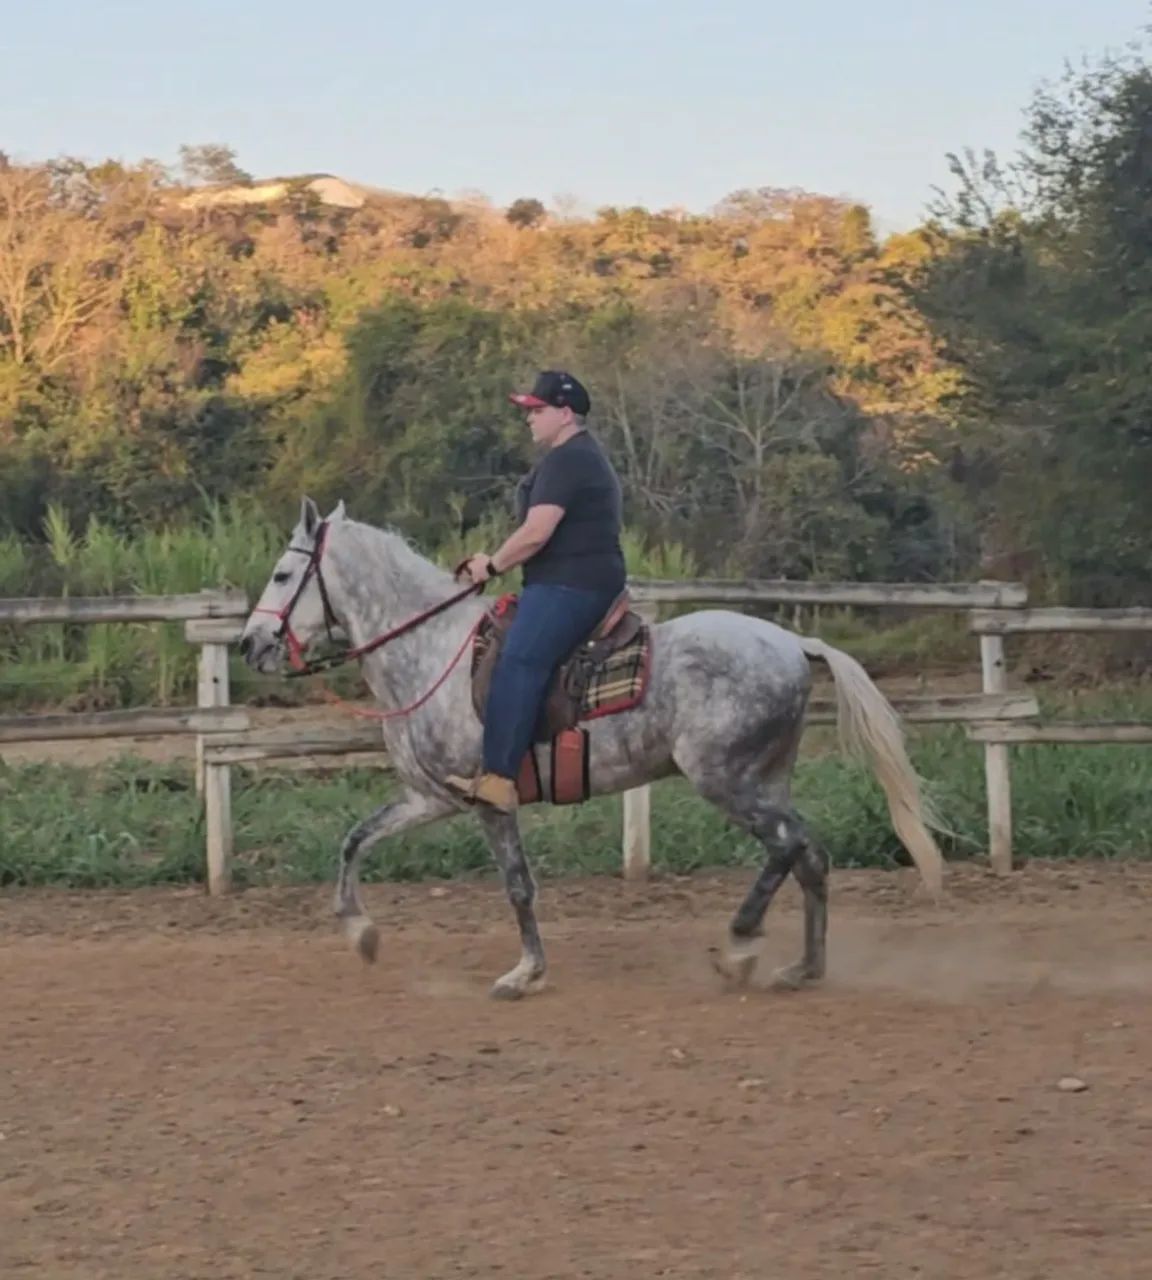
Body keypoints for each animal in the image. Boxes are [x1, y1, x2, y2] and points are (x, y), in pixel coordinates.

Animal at [238, 498, 944, 999]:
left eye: (282, 573)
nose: (250, 644)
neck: (433, 651)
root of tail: (794, 643)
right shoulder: (430, 797)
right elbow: (355, 840)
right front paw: (361, 933)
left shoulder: (490, 801)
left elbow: (518, 886)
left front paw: (524, 973)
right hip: (766, 779)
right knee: (811, 854)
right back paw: (803, 968)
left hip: (728, 780)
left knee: (786, 847)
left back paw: (742, 946)